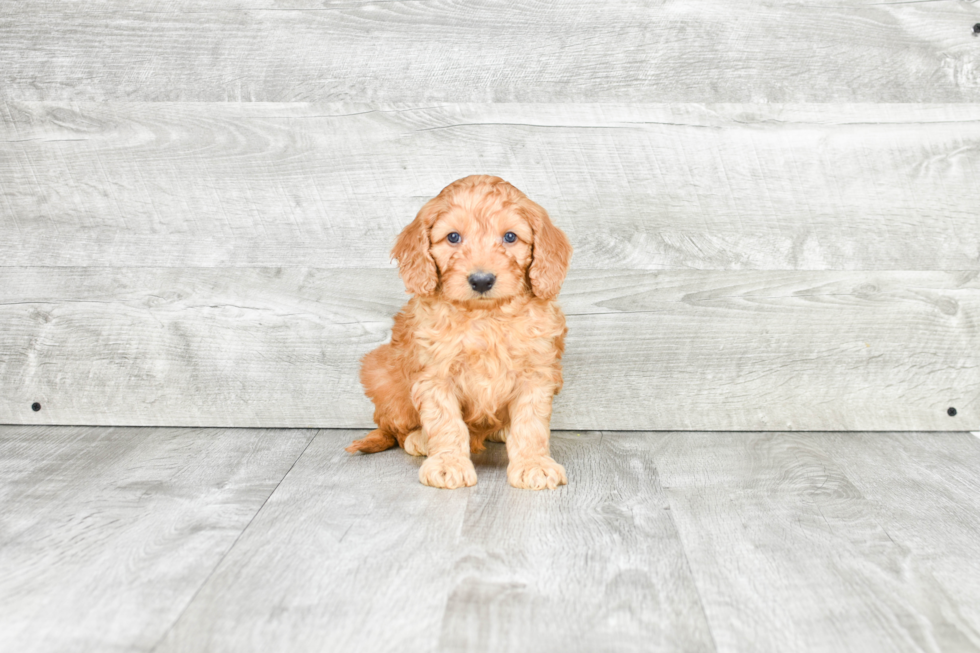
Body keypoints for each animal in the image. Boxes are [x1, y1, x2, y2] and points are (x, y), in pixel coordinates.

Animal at [346, 174, 572, 488]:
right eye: (453, 237)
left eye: (510, 237)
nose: (481, 280)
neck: (485, 317)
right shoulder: (435, 374)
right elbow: (446, 422)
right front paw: (447, 462)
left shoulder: (536, 372)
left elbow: (531, 423)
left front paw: (533, 463)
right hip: (380, 373)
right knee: (396, 431)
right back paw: (419, 439)